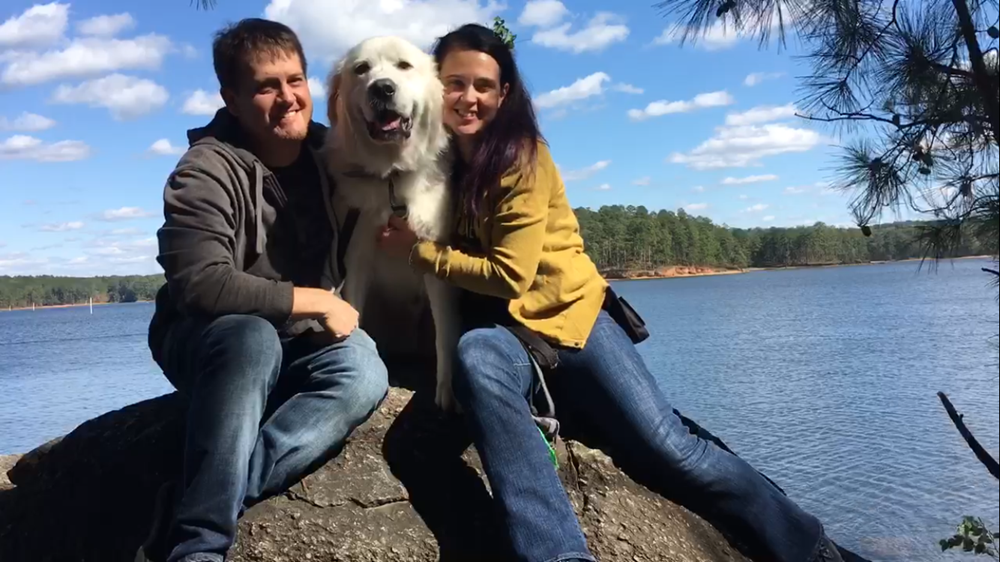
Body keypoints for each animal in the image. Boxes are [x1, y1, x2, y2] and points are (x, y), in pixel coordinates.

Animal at [320, 36, 460, 412]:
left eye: (404, 66)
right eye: (361, 69)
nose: (382, 88)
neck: (392, 177)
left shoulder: (434, 260)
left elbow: (446, 335)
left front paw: (447, 391)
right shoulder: (357, 257)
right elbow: (354, 312)